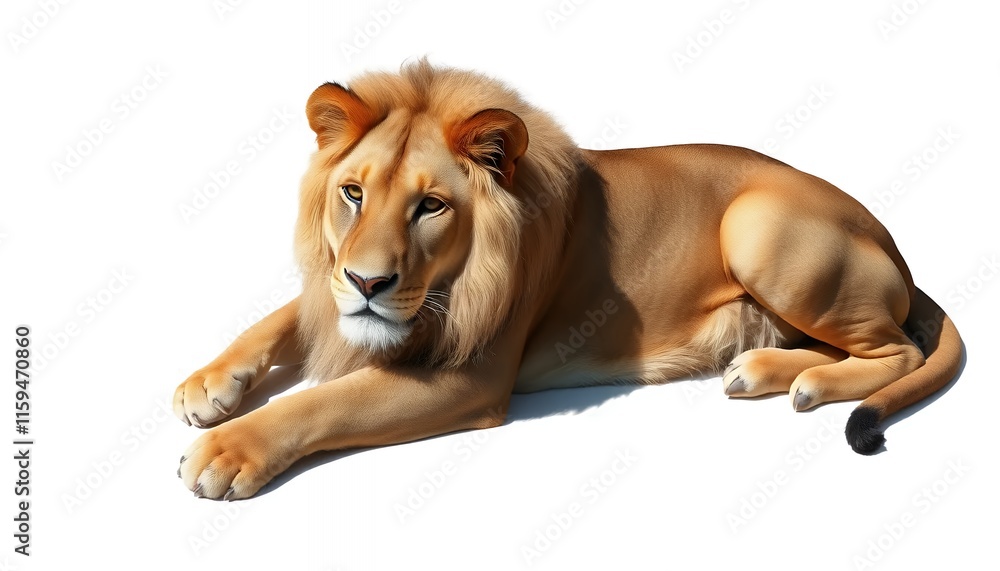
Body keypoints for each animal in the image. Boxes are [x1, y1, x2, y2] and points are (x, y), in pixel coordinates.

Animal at [174, 60, 962, 500]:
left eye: (431, 206)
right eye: (353, 193)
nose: (369, 282)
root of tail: (889, 237)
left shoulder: (471, 374)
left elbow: (326, 402)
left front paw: (225, 450)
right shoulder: (334, 293)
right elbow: (282, 316)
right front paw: (207, 384)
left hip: (757, 222)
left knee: (899, 350)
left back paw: (805, 383)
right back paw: (760, 368)